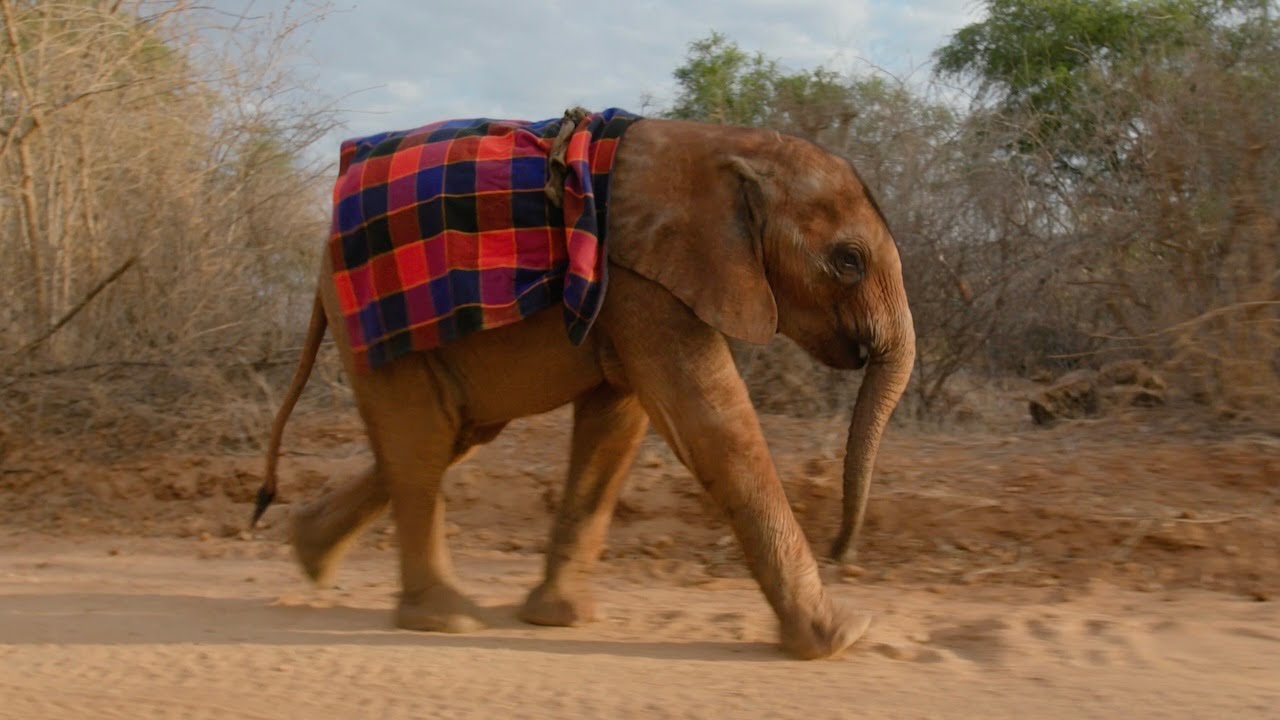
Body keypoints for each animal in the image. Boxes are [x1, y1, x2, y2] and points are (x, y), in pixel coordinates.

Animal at [252, 115, 915, 660]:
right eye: (849, 261)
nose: (842, 553)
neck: (727, 146)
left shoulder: (635, 285)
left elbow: (616, 426)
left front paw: (560, 620)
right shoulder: (641, 279)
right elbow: (709, 422)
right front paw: (841, 637)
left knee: (452, 433)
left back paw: (308, 553)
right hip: (372, 314)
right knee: (422, 439)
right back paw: (446, 621)